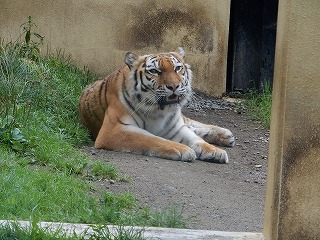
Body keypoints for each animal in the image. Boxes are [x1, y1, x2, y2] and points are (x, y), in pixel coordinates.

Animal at [79, 47, 235, 163]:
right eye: (154, 71)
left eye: (177, 68)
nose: (174, 86)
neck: (158, 111)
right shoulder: (113, 130)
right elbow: (152, 138)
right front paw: (183, 149)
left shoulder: (176, 127)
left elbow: (196, 139)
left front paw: (215, 151)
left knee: (190, 123)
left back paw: (226, 135)